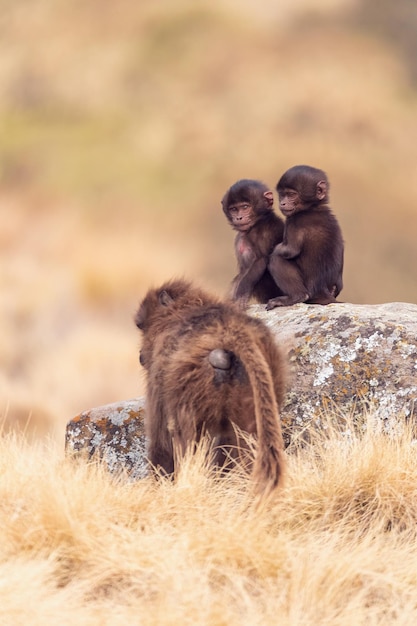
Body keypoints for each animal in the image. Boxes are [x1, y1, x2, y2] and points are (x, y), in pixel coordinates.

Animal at [266, 165, 344, 308]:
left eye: (291, 194)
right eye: (282, 194)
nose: (283, 203)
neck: (313, 208)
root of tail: (323, 292)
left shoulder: (294, 221)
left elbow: (290, 250)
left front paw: (275, 249)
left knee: (276, 259)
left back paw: (296, 296)